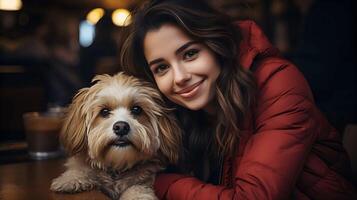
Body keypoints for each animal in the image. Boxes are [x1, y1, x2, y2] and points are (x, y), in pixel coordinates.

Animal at [50, 72, 181, 199]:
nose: (121, 127)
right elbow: (81, 168)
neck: (117, 167)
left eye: (136, 109)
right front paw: (71, 179)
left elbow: (137, 188)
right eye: (104, 111)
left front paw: (138, 196)